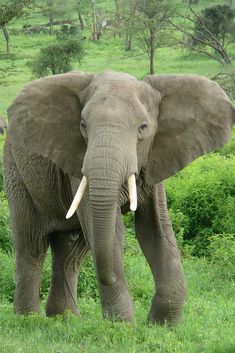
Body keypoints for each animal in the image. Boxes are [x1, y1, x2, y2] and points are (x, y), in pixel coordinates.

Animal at [2, 70, 235, 324]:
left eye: (143, 128)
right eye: (83, 126)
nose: (109, 277)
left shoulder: (155, 159)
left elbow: (155, 229)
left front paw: (162, 325)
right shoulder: (78, 160)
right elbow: (112, 232)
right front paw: (122, 324)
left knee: (70, 251)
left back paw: (65, 319)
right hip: (16, 172)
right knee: (31, 244)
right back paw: (28, 319)